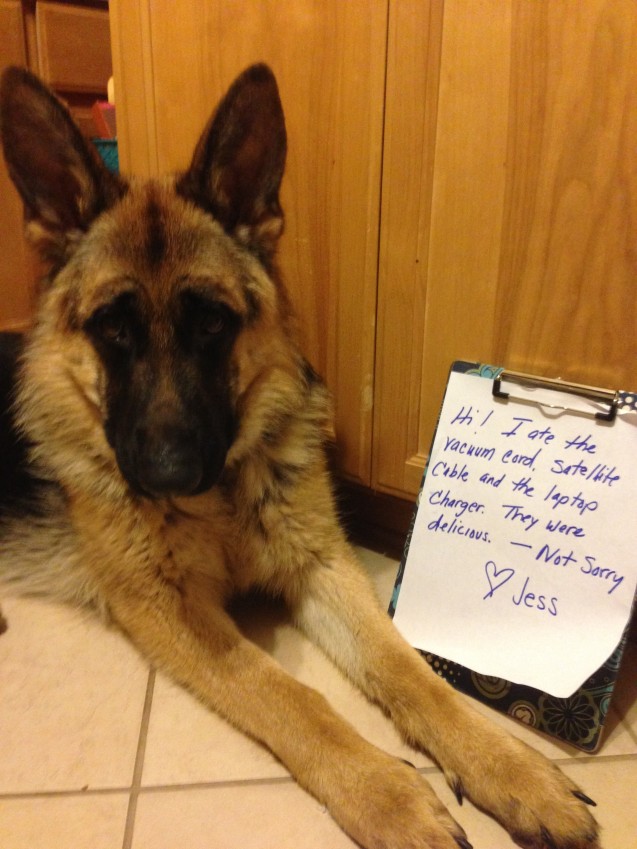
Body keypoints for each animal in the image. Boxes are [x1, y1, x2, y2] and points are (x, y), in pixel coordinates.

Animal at [0, 64, 600, 848]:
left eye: (212, 323)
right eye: (113, 329)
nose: (167, 476)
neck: (219, 501)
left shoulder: (321, 563)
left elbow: (405, 667)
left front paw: (507, 764)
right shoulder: (165, 609)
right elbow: (288, 695)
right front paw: (387, 794)